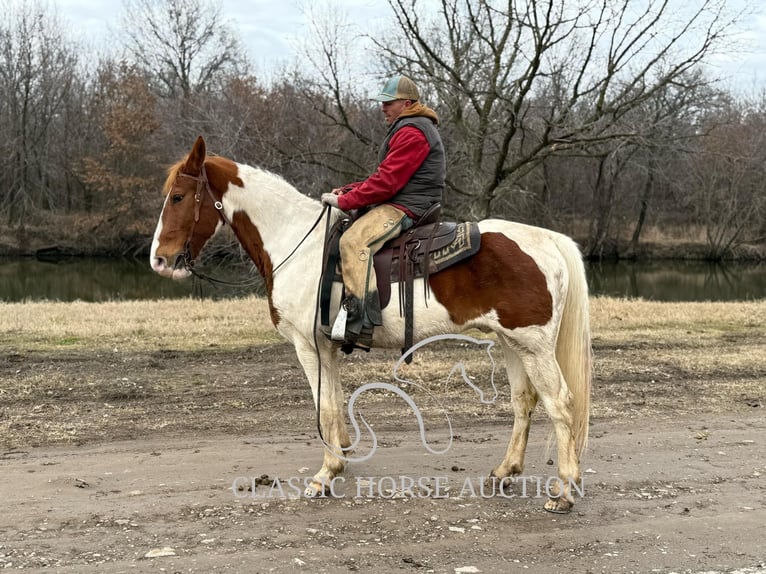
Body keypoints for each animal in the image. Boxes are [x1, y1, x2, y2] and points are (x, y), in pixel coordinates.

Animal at [148, 137, 592, 516]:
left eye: (178, 196)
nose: (159, 260)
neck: (297, 244)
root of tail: (549, 240)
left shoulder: (308, 346)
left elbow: (325, 406)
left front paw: (325, 475)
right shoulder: (326, 347)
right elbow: (334, 401)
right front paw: (341, 457)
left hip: (533, 347)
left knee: (561, 405)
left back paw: (564, 491)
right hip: (510, 344)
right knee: (524, 402)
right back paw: (505, 472)